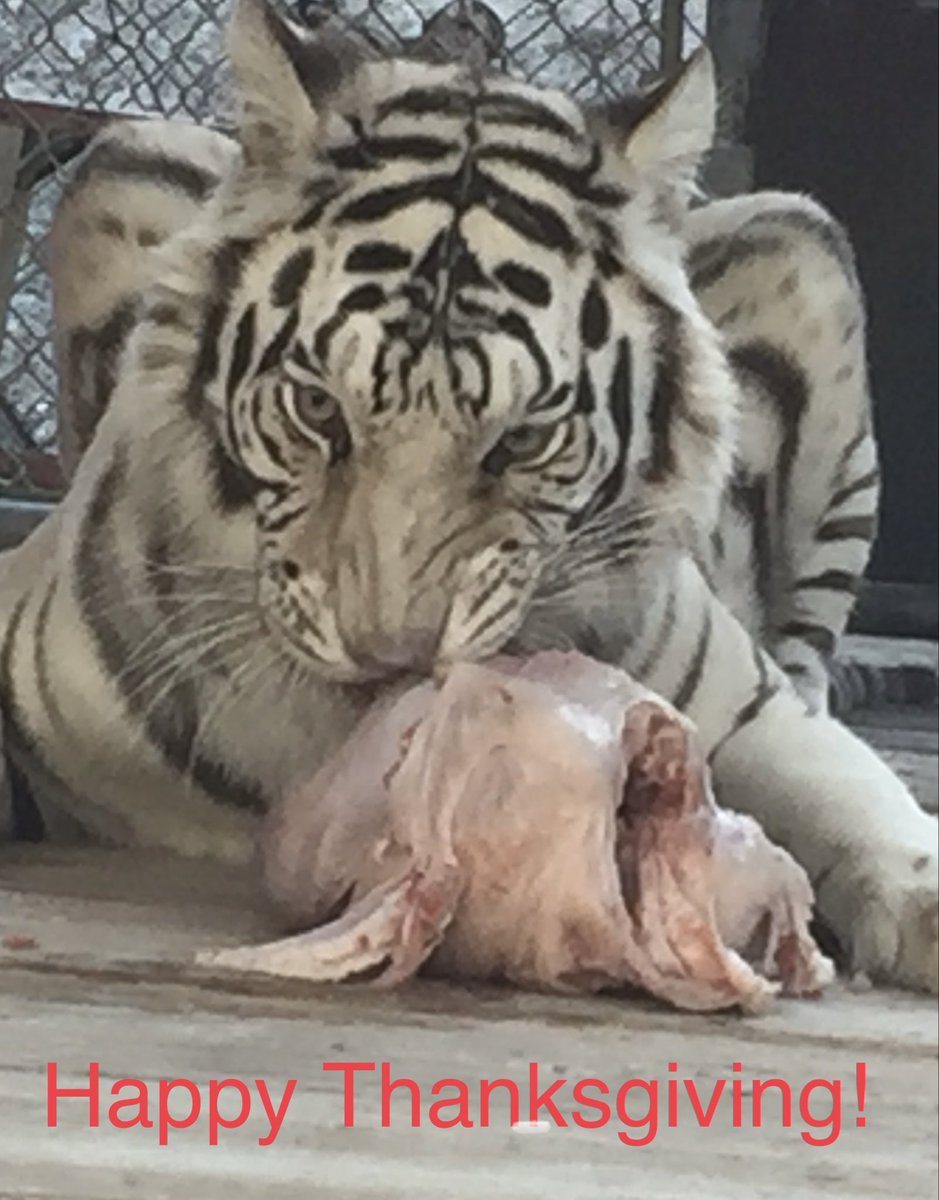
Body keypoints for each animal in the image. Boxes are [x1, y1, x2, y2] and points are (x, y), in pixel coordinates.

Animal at [0, 0, 935, 992]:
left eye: (521, 439)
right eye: (317, 408)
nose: (391, 657)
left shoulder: (745, 705)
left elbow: (847, 788)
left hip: (795, 233)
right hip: (131, 152)